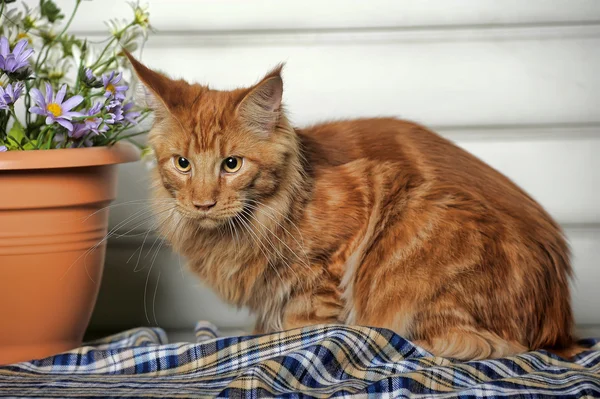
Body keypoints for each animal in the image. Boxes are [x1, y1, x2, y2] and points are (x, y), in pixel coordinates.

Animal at [125, 53, 576, 362]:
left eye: (231, 164)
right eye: (183, 164)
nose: (203, 203)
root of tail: (559, 321)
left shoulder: (329, 261)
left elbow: (305, 333)